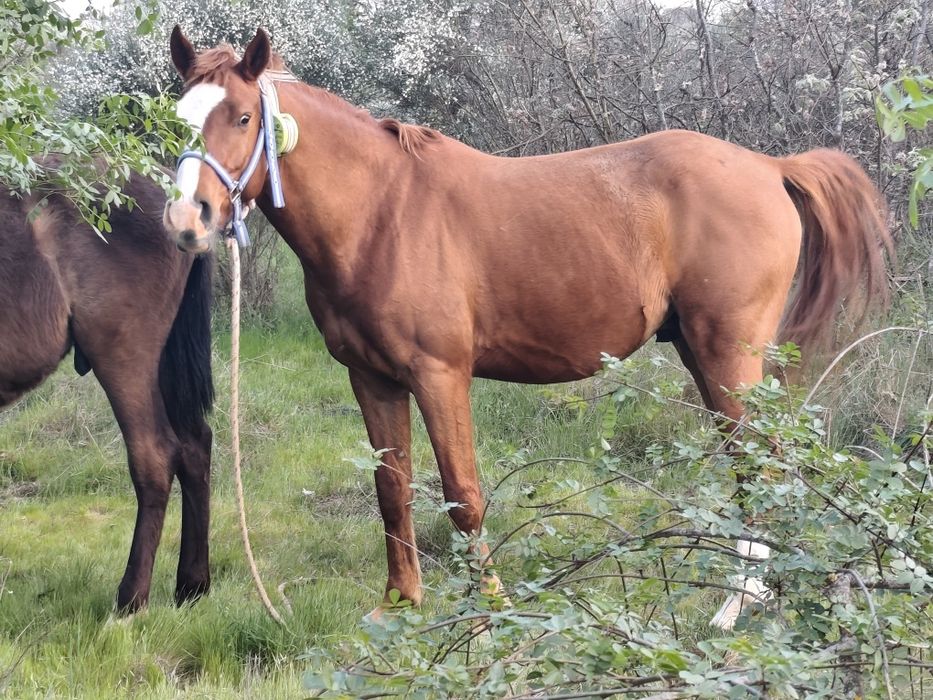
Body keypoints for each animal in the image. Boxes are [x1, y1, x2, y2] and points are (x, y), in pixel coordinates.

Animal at [164, 27, 892, 628]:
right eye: (179, 119)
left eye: (243, 116)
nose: (186, 220)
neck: (380, 215)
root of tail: (771, 167)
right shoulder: (371, 378)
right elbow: (391, 489)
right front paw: (398, 605)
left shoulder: (439, 376)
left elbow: (462, 495)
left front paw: (488, 611)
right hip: (704, 356)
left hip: (728, 357)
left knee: (761, 466)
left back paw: (738, 606)